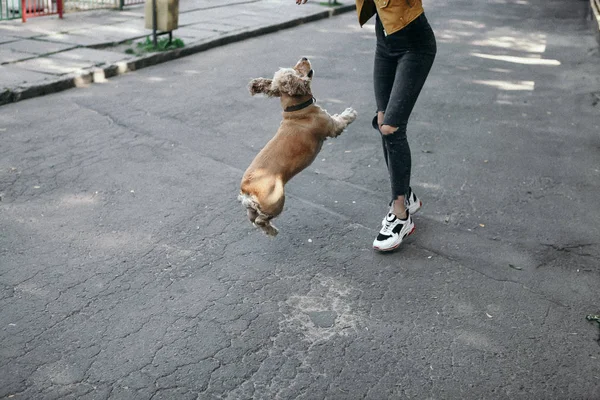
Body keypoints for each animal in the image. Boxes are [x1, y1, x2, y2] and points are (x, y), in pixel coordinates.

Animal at [238, 57, 356, 236]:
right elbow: (341, 120)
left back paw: (269, 230)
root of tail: (247, 188)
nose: (304, 58)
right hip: (276, 201)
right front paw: (350, 113)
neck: (295, 110)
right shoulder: (332, 127)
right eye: (297, 71)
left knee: (252, 218)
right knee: (260, 220)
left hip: (254, 207)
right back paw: (272, 231)